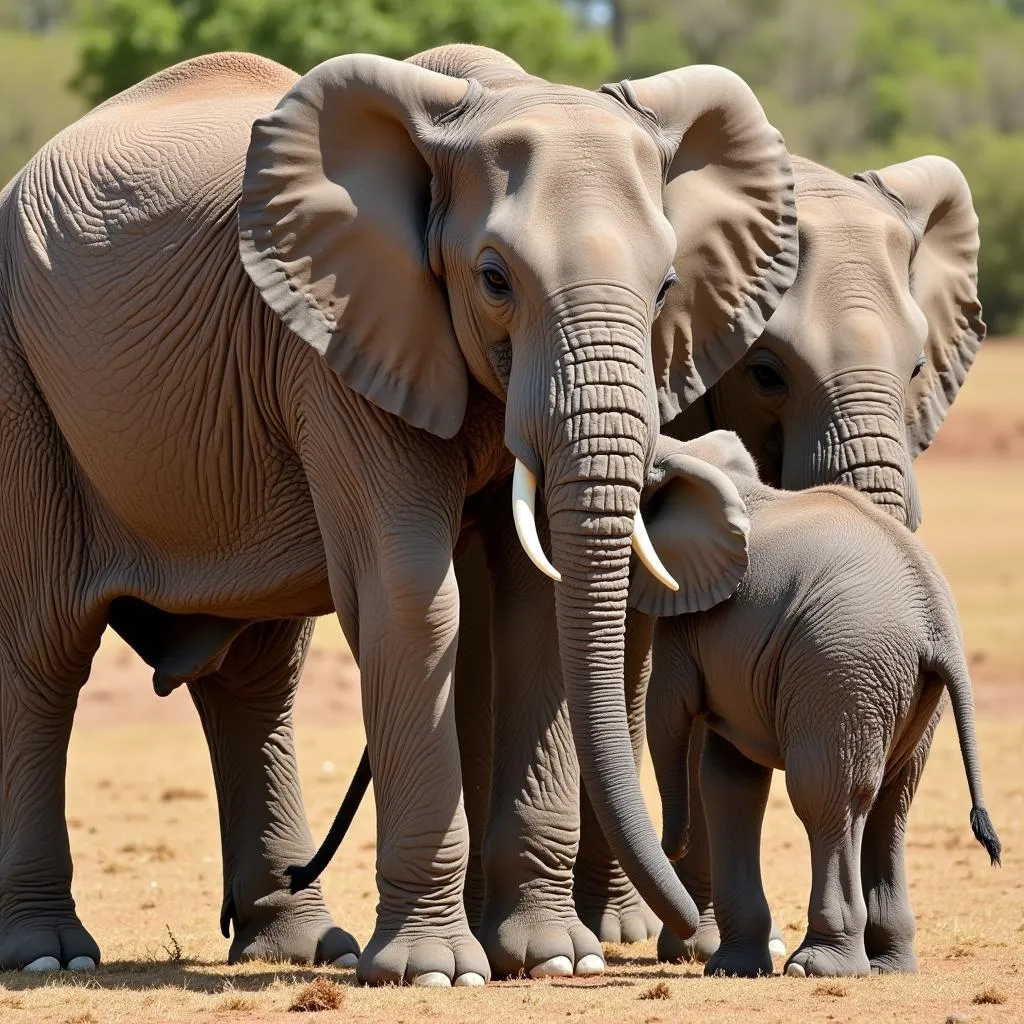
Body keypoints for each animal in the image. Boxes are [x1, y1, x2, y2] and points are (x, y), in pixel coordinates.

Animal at [0, 41, 794, 983]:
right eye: (493, 279)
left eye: (668, 284)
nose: (701, 946)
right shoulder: (335, 343)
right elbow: (411, 591)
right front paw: (437, 971)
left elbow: (535, 601)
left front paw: (553, 960)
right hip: (21, 386)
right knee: (43, 653)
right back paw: (49, 957)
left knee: (256, 675)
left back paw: (301, 944)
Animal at [638, 430, 999, 974]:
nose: (671, 846)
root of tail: (934, 617)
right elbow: (730, 781)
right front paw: (733, 969)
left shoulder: (689, 619)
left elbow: (669, 713)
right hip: (898, 686)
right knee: (890, 800)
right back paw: (889, 967)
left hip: (842, 668)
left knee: (825, 796)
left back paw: (818, 965)